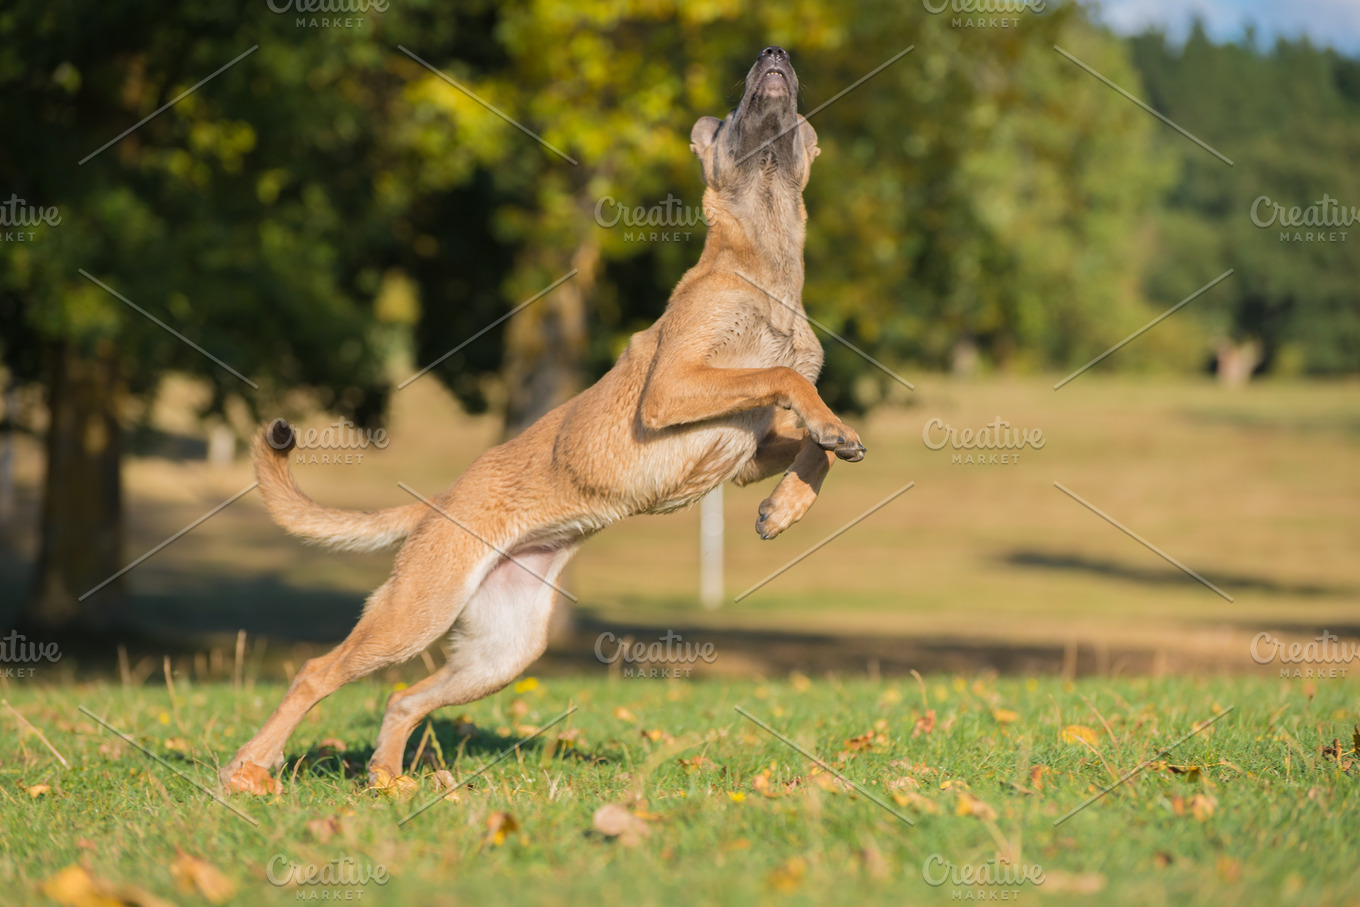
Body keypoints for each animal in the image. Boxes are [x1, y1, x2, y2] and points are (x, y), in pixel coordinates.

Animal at [220, 46, 859, 794]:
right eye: (733, 113)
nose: (773, 54)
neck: (763, 267)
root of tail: (437, 504)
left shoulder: (748, 447)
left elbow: (810, 439)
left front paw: (788, 505)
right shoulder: (672, 389)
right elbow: (787, 378)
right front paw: (821, 445)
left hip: (503, 650)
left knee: (404, 697)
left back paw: (386, 781)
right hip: (416, 611)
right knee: (316, 673)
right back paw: (249, 771)